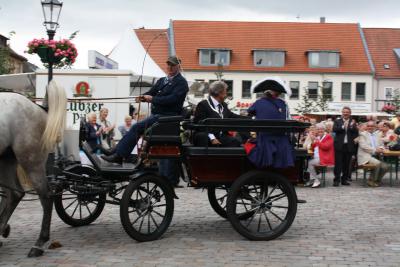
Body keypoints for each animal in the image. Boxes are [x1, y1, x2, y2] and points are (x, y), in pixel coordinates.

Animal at [0, 81, 66, 258]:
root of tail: (38, 107)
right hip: (6, 161)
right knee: (15, 194)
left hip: (31, 162)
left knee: (46, 197)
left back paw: (39, 243)